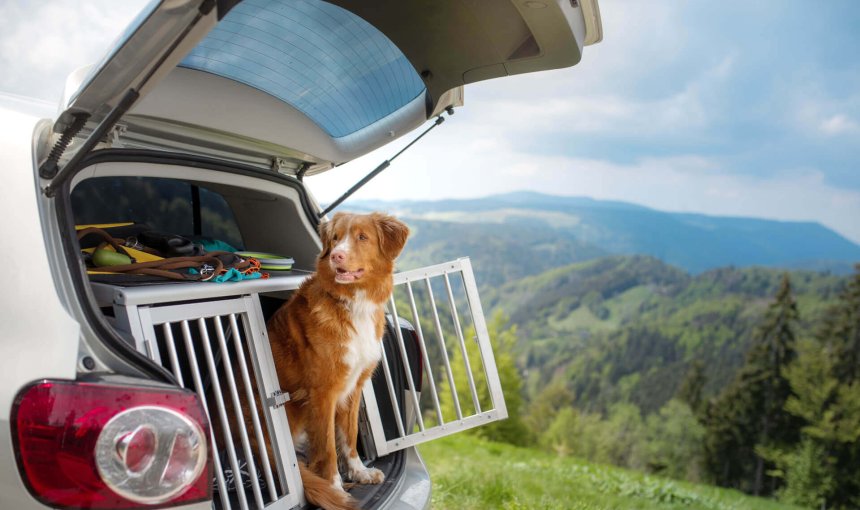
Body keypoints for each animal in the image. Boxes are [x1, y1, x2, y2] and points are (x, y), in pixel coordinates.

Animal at [268, 210, 412, 510]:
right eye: (335, 238)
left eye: (362, 237)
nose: (336, 255)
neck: (353, 302)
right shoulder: (324, 392)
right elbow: (327, 448)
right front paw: (334, 487)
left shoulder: (354, 386)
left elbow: (349, 435)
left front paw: (359, 472)